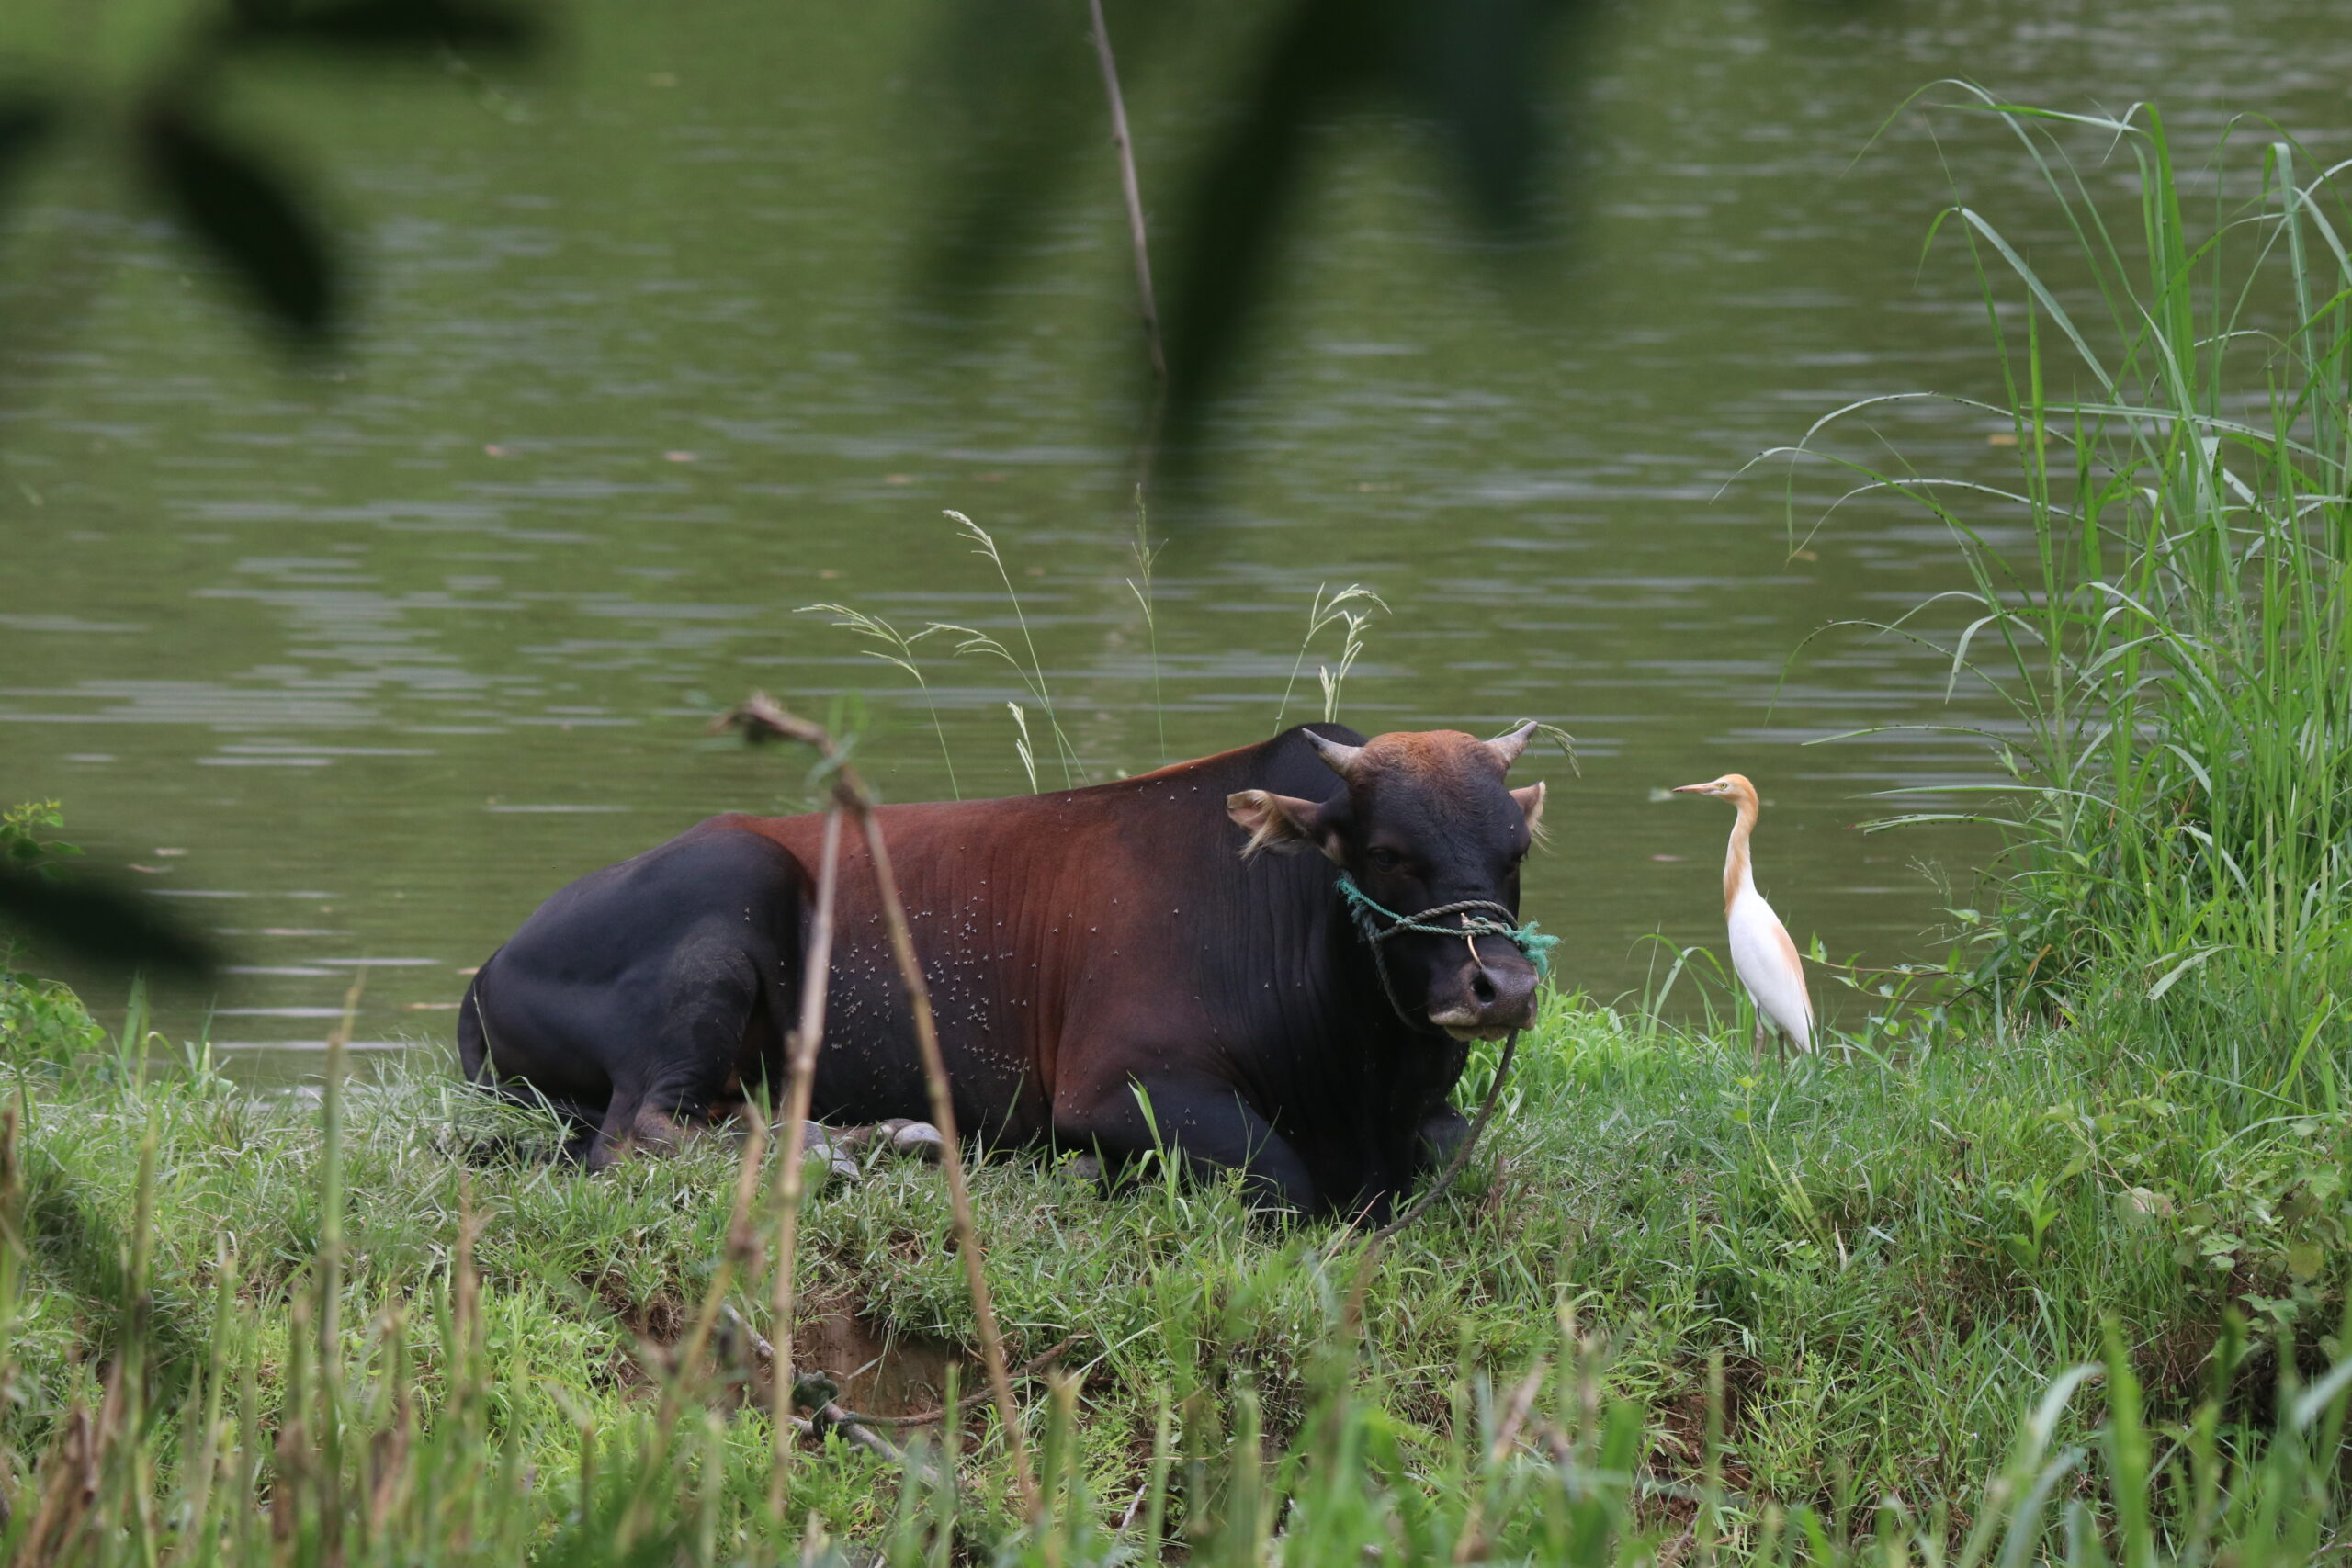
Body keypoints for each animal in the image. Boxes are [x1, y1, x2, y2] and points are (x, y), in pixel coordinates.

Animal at [458, 721, 1550, 1218]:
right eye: (1390, 852)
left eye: (1515, 851)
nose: (1499, 987)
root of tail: (489, 964)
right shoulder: (1120, 1085)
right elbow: (1279, 1177)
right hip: (728, 899)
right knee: (638, 1131)